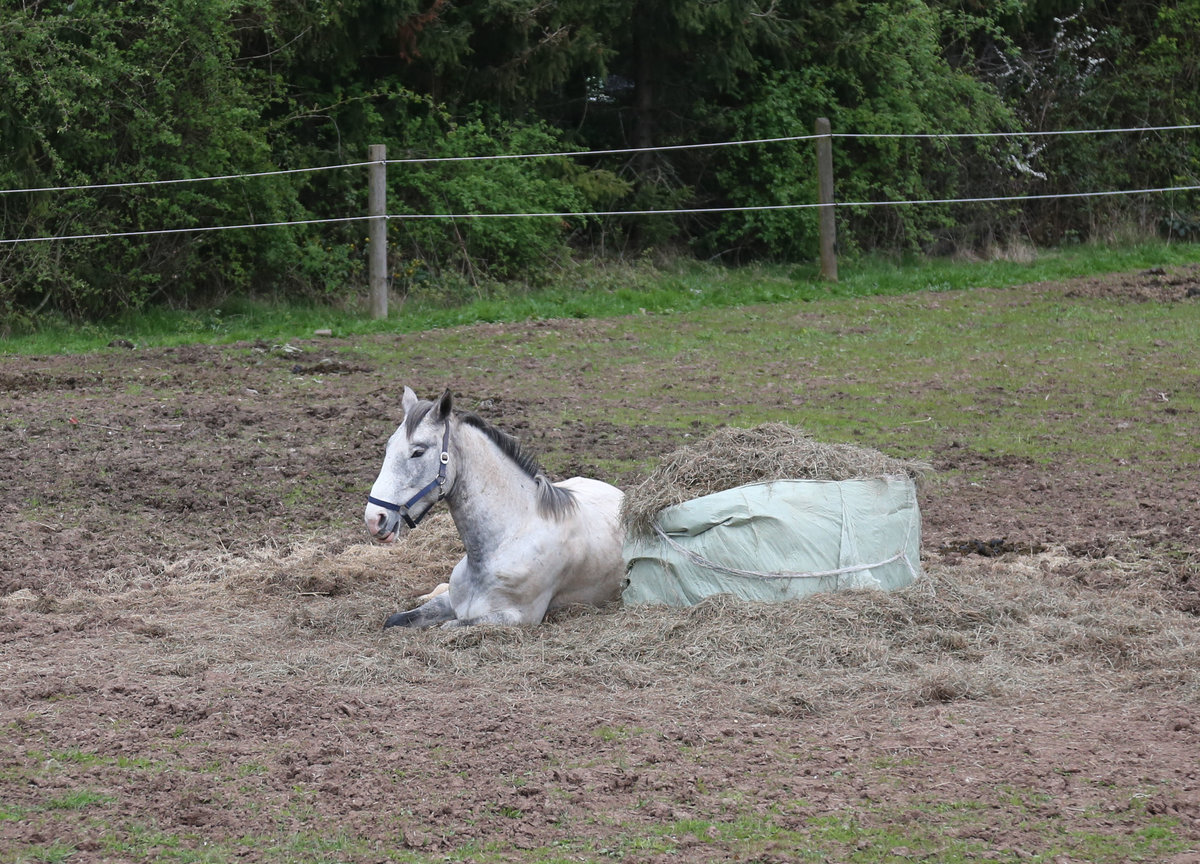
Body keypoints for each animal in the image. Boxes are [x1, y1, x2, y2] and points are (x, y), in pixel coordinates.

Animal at [362, 388, 628, 624]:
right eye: (388, 447)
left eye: (418, 451)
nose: (375, 519)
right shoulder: (450, 602)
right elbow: (396, 619)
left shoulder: (518, 617)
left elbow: (450, 626)